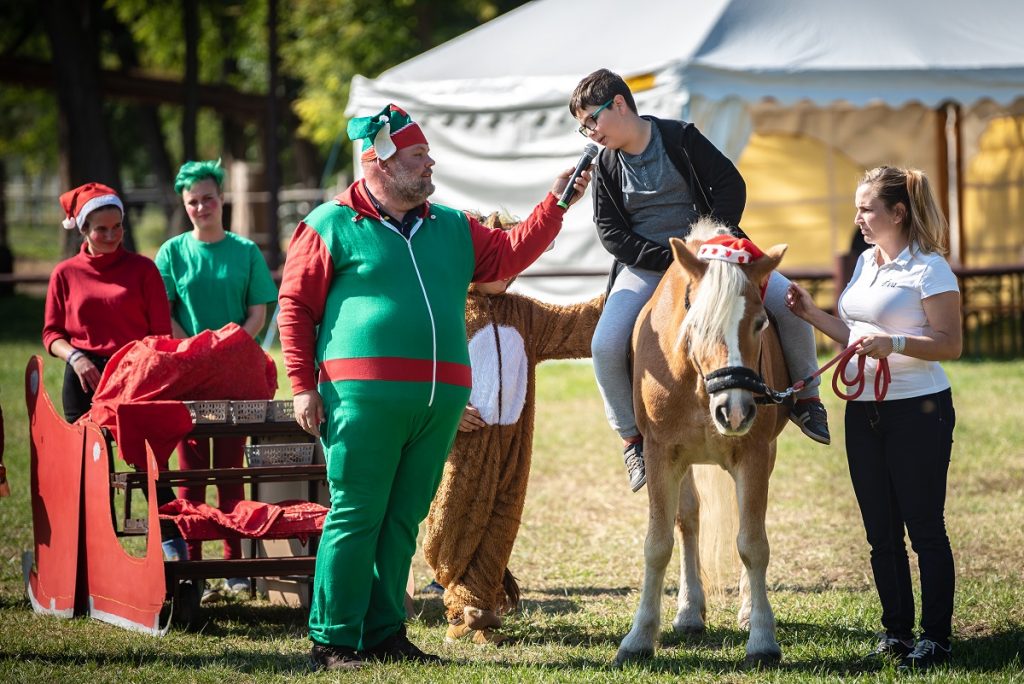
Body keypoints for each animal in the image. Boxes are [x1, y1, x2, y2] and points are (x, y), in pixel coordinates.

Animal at [614, 220, 790, 667]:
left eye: (760, 323)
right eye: (696, 324)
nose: (736, 411)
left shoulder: (754, 454)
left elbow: (753, 543)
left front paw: (762, 638)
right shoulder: (661, 454)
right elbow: (658, 543)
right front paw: (639, 637)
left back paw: (745, 608)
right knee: (688, 519)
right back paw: (690, 610)